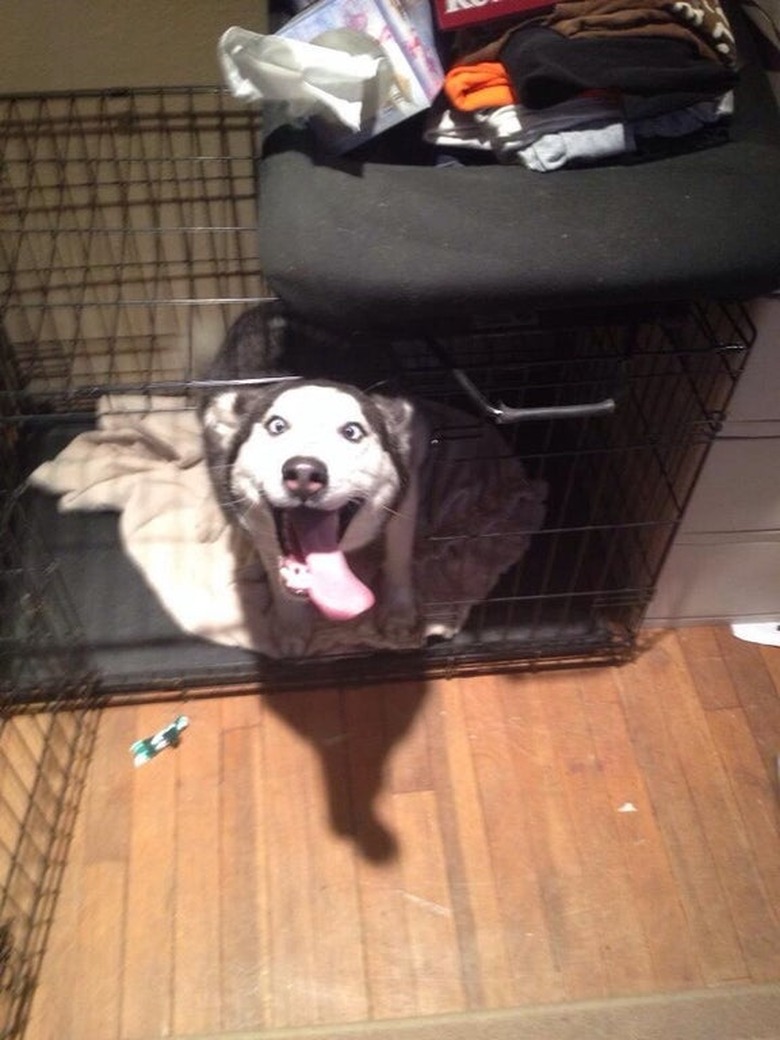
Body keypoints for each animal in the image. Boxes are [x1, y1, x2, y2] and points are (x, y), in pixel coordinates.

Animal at [198, 303, 424, 653]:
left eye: (352, 431)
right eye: (276, 426)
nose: (304, 473)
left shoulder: (407, 490)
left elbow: (399, 555)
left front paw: (398, 612)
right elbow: (275, 570)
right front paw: (292, 624)